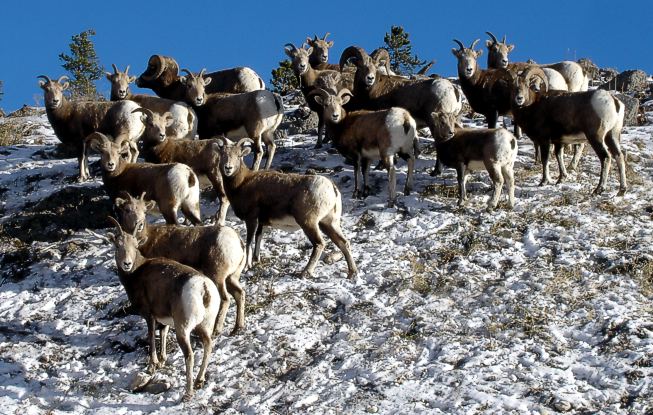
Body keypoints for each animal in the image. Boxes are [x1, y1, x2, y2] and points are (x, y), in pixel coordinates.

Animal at [107, 218, 219, 404]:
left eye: (135, 246)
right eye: (118, 246)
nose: (127, 264)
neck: (137, 273)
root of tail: (203, 288)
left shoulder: (149, 315)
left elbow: (152, 337)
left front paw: (152, 366)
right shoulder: (164, 319)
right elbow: (163, 334)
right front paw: (162, 362)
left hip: (183, 329)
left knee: (189, 355)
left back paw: (187, 394)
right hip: (205, 326)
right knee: (208, 345)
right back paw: (199, 381)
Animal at [113, 193, 246, 336]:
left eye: (144, 211)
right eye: (127, 210)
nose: (140, 224)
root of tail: (237, 241)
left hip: (217, 278)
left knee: (225, 299)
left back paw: (217, 330)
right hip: (231, 278)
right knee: (239, 293)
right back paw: (237, 328)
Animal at [214, 137, 356, 280]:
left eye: (238, 155)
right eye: (223, 154)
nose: (228, 168)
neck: (242, 183)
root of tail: (332, 188)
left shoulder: (251, 219)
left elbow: (249, 242)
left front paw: (247, 266)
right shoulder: (261, 223)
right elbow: (258, 238)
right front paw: (256, 261)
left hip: (308, 223)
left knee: (319, 244)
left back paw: (305, 272)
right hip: (328, 223)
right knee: (343, 243)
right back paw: (352, 273)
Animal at [500, 66, 628, 195]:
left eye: (526, 85)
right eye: (512, 86)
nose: (519, 98)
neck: (532, 107)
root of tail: (614, 102)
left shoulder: (545, 140)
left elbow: (545, 160)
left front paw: (544, 182)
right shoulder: (559, 141)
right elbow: (559, 156)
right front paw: (561, 179)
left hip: (596, 137)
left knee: (606, 157)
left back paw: (599, 189)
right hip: (612, 136)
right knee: (619, 156)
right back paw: (622, 190)